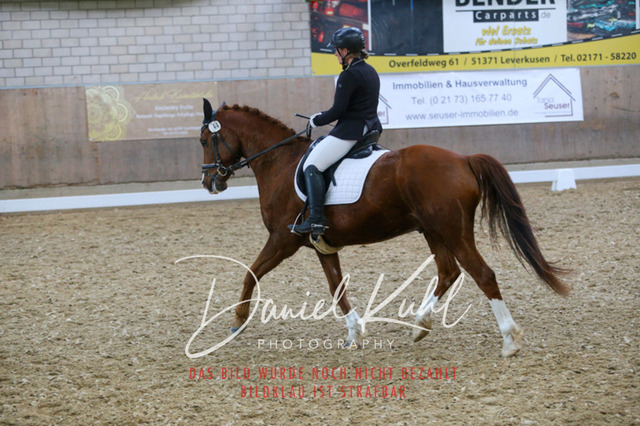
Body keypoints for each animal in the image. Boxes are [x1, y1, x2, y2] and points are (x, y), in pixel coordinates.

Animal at [198, 99, 569, 357]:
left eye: (204, 140)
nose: (208, 182)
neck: (281, 163)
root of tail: (463, 159)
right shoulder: (321, 245)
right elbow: (337, 288)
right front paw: (355, 333)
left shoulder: (281, 240)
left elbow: (251, 272)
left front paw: (237, 322)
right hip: (433, 231)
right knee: (448, 272)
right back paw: (420, 326)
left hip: (452, 230)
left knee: (483, 274)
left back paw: (509, 341)